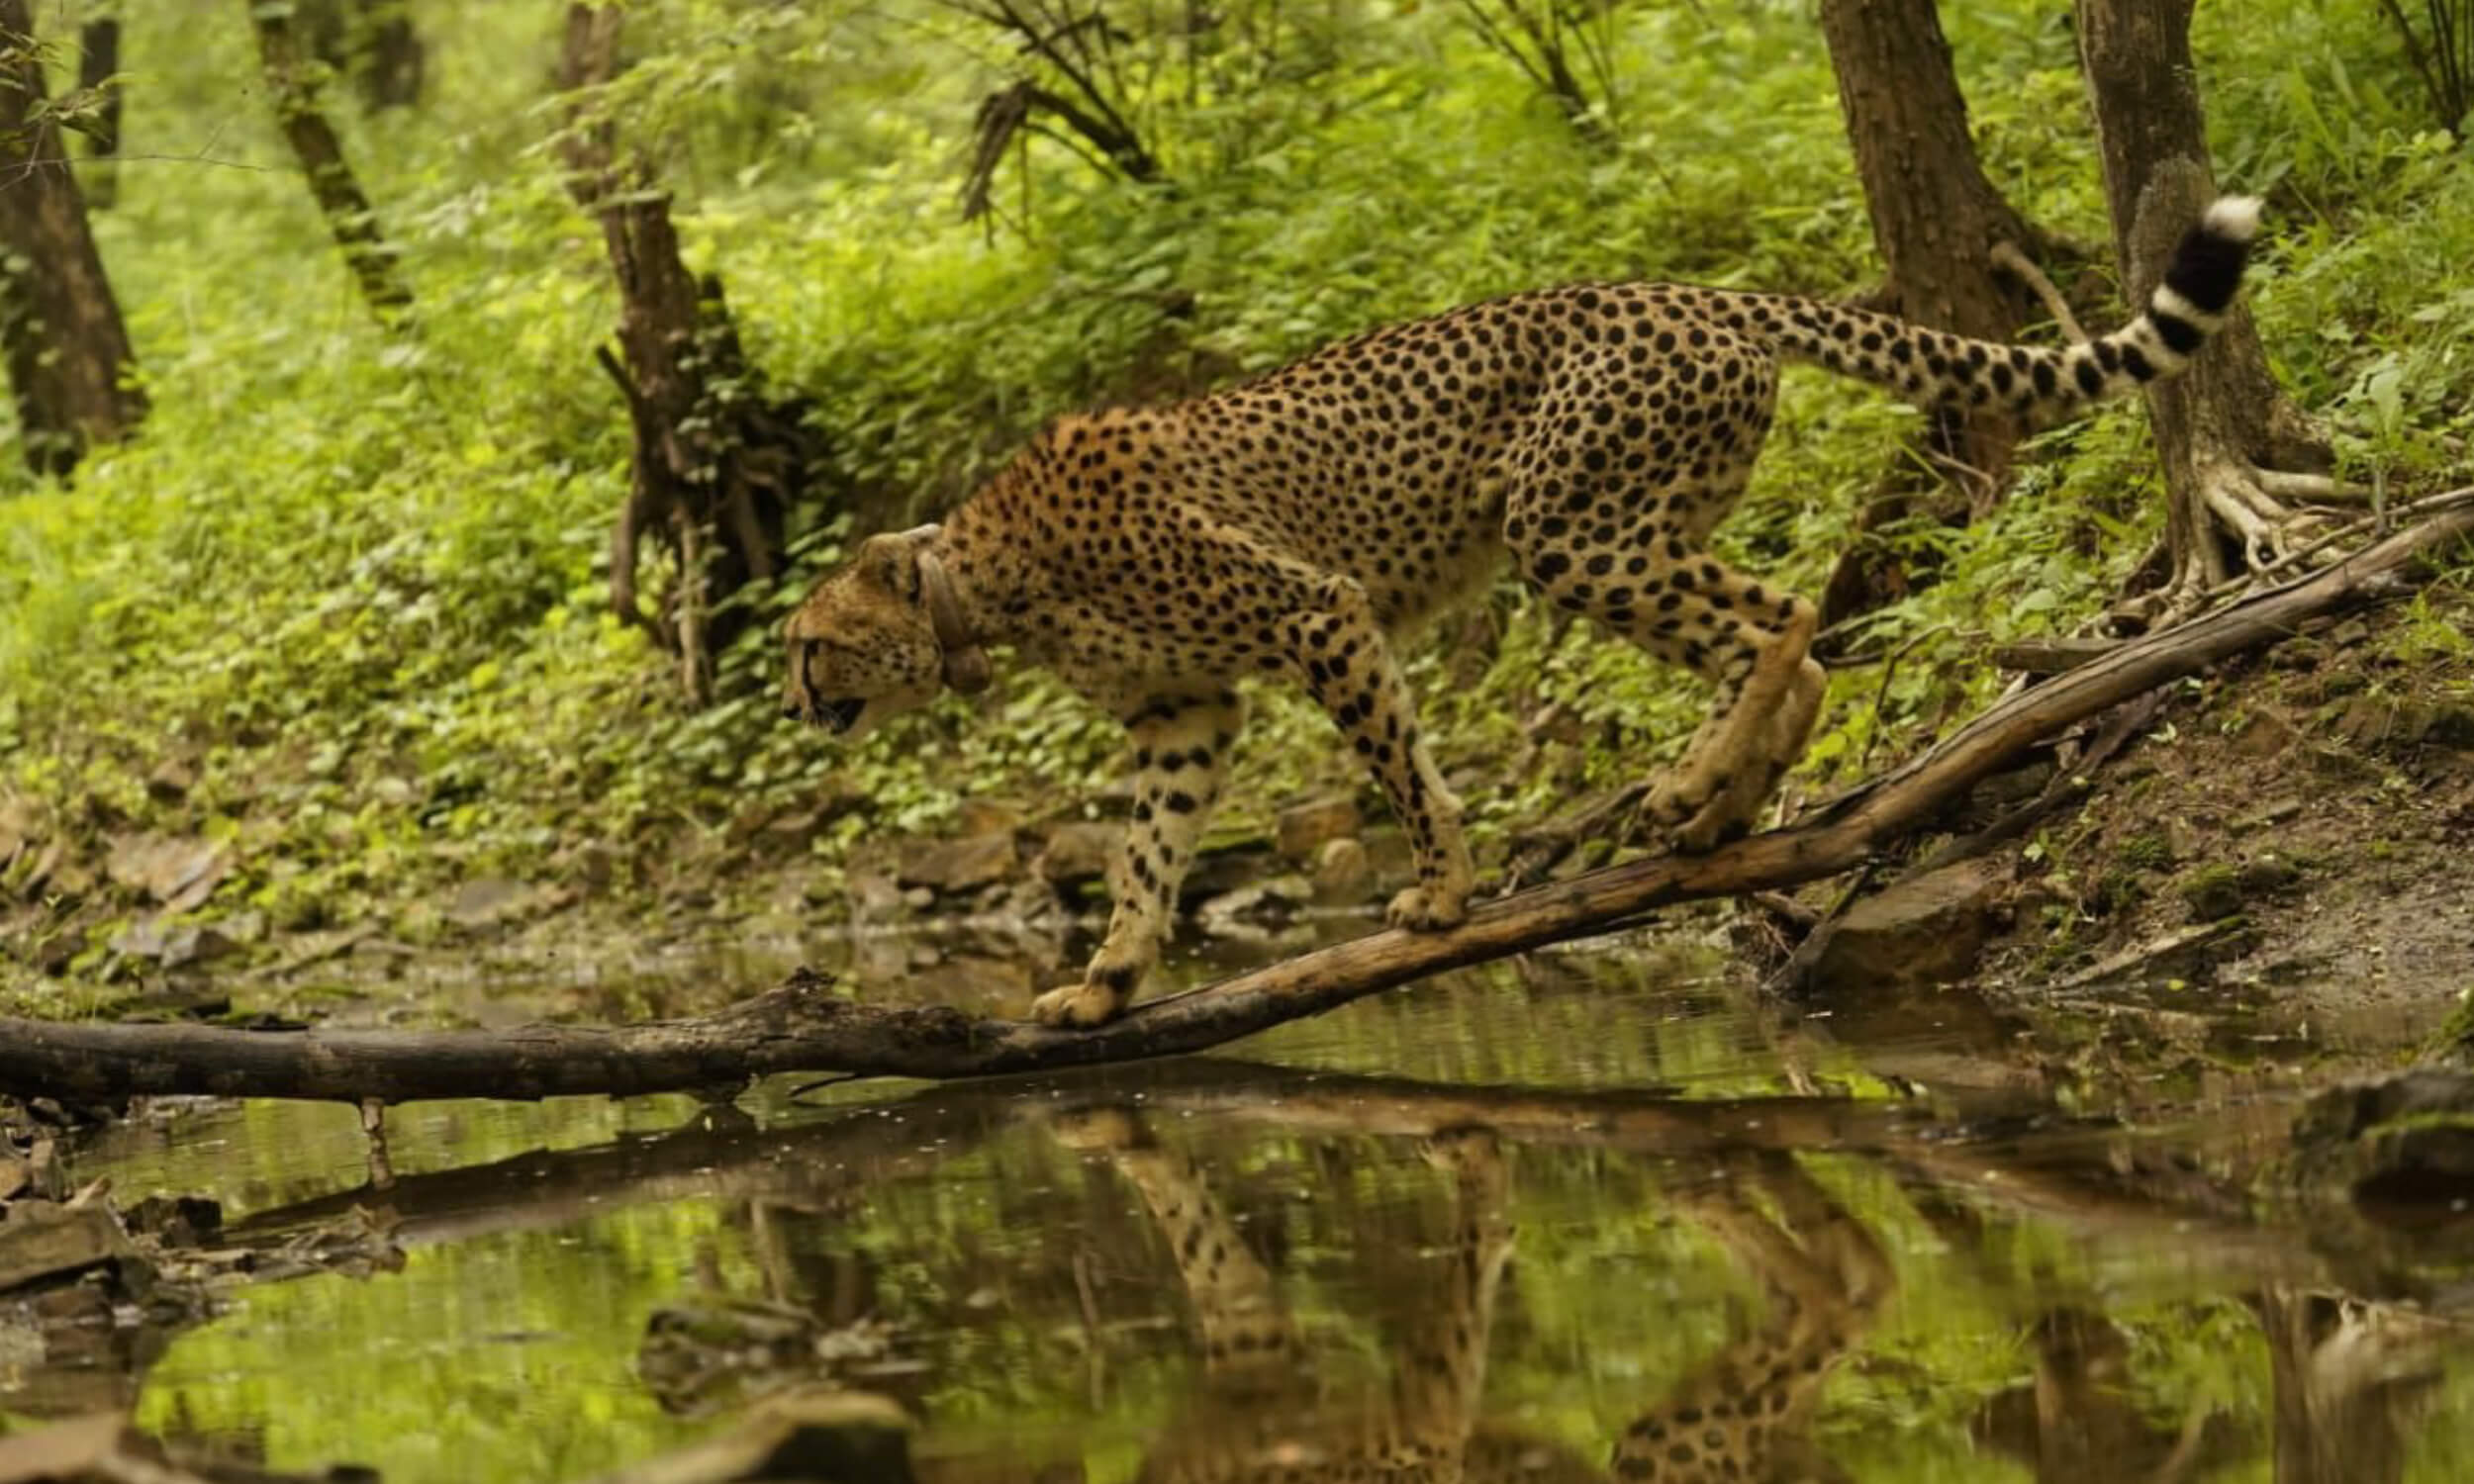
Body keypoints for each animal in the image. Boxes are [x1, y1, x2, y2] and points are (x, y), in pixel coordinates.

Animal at [782, 196, 2263, 1028]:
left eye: (811, 642)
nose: (798, 697)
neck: (979, 580)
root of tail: (1694, 289)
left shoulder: (1317, 614)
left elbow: (1400, 766)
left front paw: (1440, 894)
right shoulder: (1184, 711)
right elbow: (1146, 852)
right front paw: (1109, 978)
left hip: (1568, 529)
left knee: (1781, 614)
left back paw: (1690, 791)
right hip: (1635, 518)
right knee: (1787, 641)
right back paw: (1719, 810)